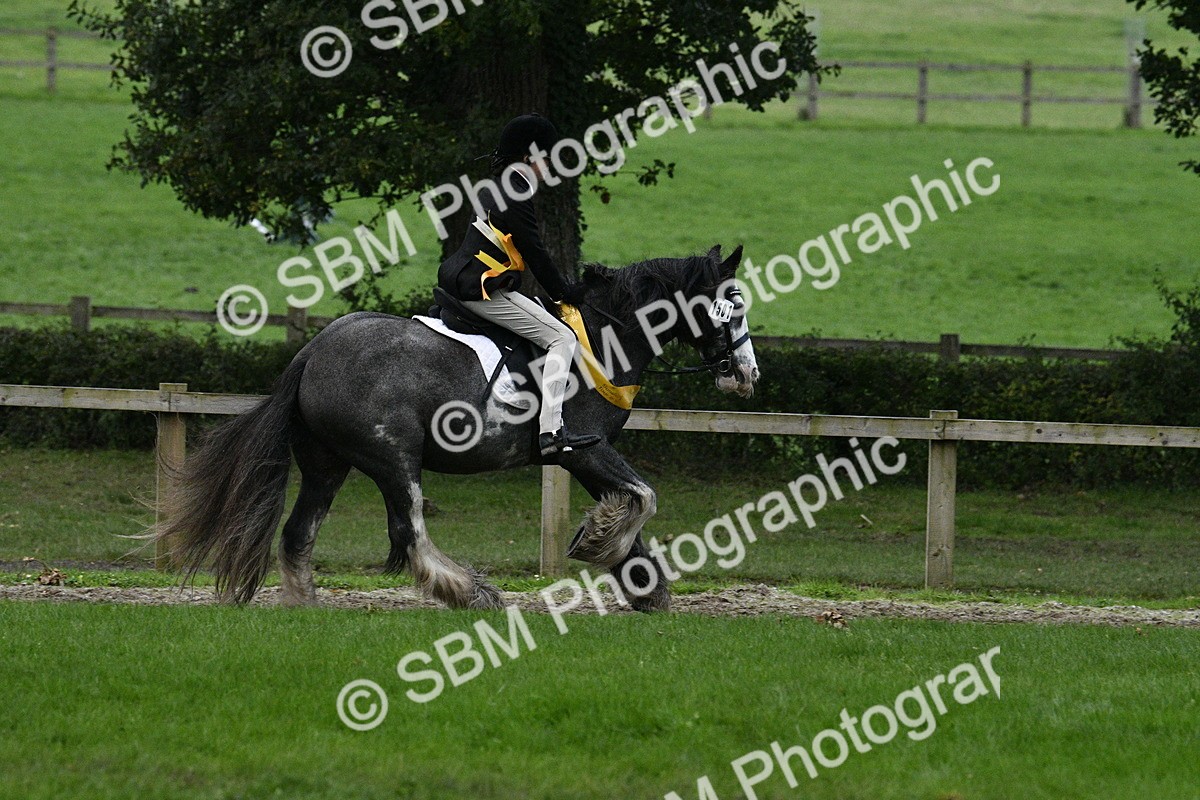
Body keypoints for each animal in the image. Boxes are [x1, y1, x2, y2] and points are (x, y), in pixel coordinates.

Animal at [156, 244, 759, 612]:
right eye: (732, 305)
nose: (747, 374)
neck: (607, 338)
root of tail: (310, 354)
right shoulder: (579, 449)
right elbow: (644, 498)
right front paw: (601, 550)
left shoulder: (587, 454)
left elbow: (632, 505)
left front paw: (636, 580)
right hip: (394, 459)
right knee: (411, 534)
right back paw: (473, 593)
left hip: (329, 465)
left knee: (299, 532)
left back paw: (306, 606)